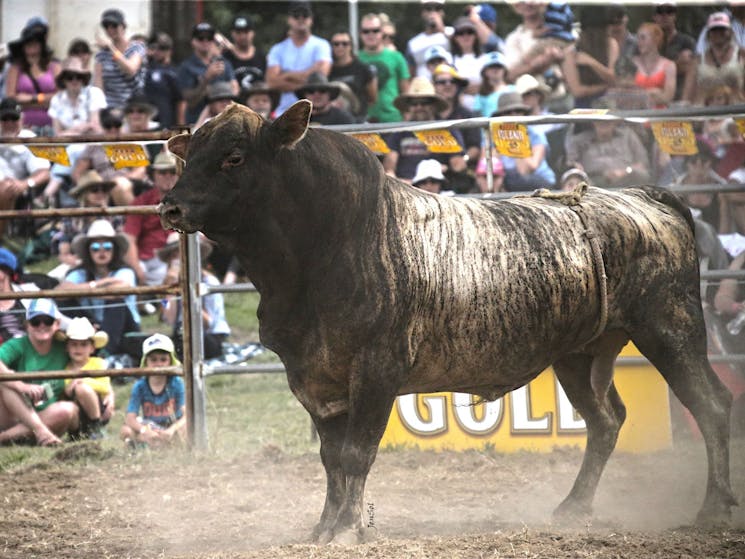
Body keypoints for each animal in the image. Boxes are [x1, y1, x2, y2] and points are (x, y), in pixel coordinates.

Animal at [160, 103, 736, 544]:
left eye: (234, 157)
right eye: (188, 156)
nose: (169, 207)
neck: (326, 244)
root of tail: (645, 196)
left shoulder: (378, 369)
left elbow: (356, 453)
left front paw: (347, 529)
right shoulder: (311, 376)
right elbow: (331, 458)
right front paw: (325, 526)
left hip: (671, 326)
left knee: (710, 404)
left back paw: (714, 506)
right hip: (581, 351)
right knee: (607, 420)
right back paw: (573, 506)